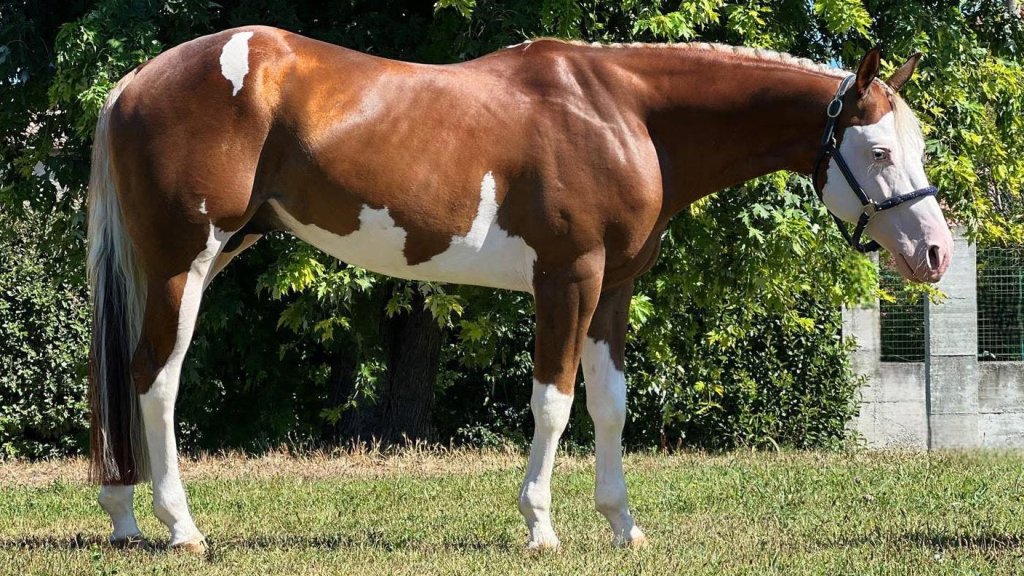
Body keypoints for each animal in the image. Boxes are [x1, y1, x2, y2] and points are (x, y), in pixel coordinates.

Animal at [86, 26, 953, 552]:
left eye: (915, 146)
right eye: (878, 150)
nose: (936, 254)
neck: (627, 114)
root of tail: (133, 84)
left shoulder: (613, 291)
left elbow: (611, 406)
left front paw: (623, 525)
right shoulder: (567, 280)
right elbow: (553, 403)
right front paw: (541, 526)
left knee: (131, 380)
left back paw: (126, 519)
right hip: (182, 261)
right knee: (155, 380)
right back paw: (178, 527)